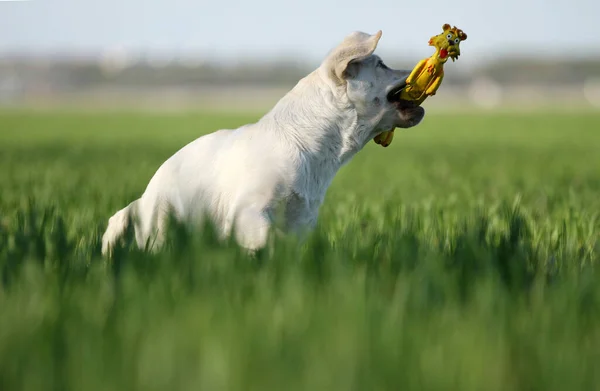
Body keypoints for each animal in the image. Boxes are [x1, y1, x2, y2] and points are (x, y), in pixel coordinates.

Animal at [101, 31, 424, 258]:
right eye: (382, 65)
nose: (416, 67)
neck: (312, 147)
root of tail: (142, 200)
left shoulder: (301, 221)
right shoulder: (248, 212)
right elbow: (268, 240)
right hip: (162, 221)